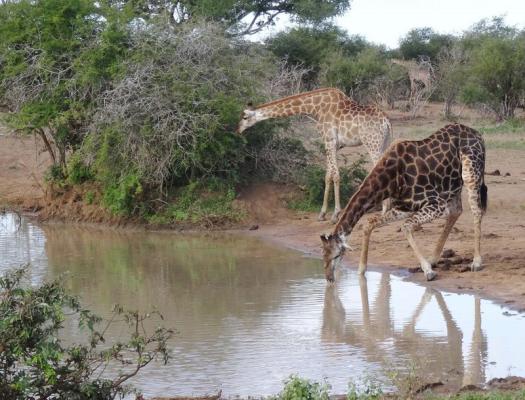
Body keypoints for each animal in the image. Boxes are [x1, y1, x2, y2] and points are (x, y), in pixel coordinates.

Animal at [235, 87, 390, 223]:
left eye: (244, 117)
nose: (237, 130)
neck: (315, 108)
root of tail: (387, 122)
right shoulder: (334, 145)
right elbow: (328, 176)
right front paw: (322, 214)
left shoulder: (329, 141)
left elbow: (335, 175)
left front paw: (335, 215)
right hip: (384, 143)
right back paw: (387, 207)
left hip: (372, 144)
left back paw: (384, 209)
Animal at [320, 123, 488, 282]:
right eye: (323, 256)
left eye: (336, 255)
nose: (329, 278)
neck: (390, 180)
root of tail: (478, 134)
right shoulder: (403, 208)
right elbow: (370, 222)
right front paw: (361, 271)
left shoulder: (436, 204)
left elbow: (406, 226)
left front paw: (428, 271)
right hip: (452, 185)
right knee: (456, 211)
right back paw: (434, 259)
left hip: (470, 173)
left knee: (476, 211)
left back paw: (476, 262)